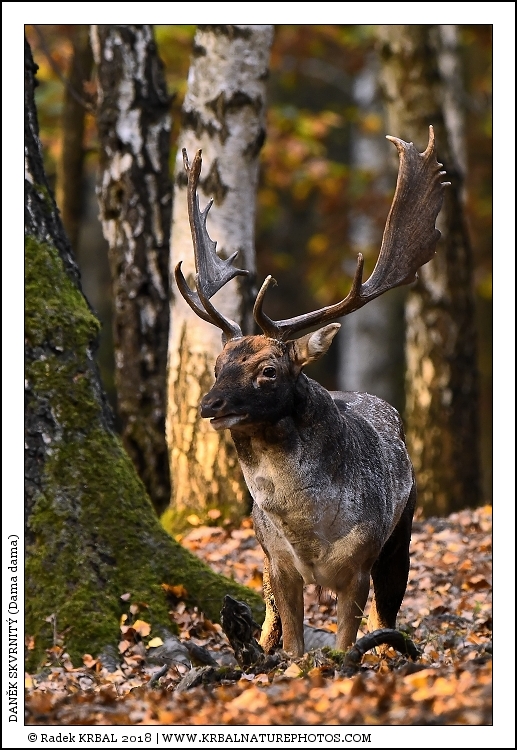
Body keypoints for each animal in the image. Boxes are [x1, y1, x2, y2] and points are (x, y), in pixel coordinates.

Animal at [175, 126, 449, 657]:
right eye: (218, 366)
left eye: (268, 370)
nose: (209, 405)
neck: (308, 532)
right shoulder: (280, 564)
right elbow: (295, 650)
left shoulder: (359, 563)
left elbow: (345, 644)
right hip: (261, 561)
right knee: (267, 624)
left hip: (400, 536)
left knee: (388, 617)